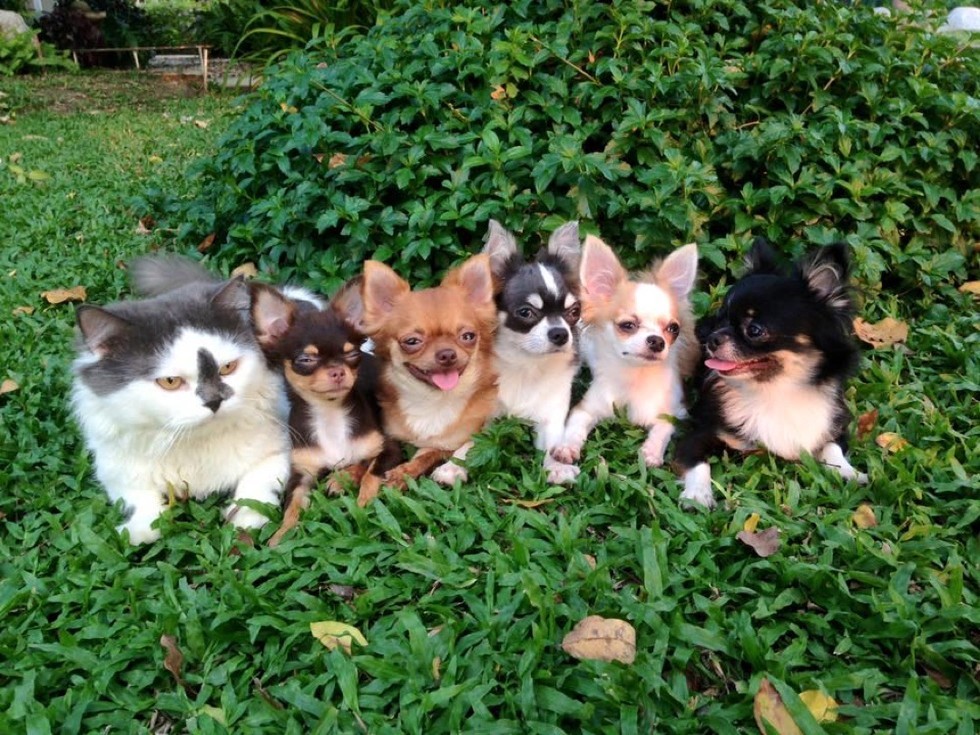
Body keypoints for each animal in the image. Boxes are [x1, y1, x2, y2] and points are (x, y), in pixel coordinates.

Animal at [71, 256, 292, 544]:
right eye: (170, 382)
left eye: (228, 368)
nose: (214, 401)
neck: (192, 443)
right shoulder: (114, 469)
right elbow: (141, 500)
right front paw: (138, 531)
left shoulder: (281, 447)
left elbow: (256, 485)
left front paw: (245, 519)